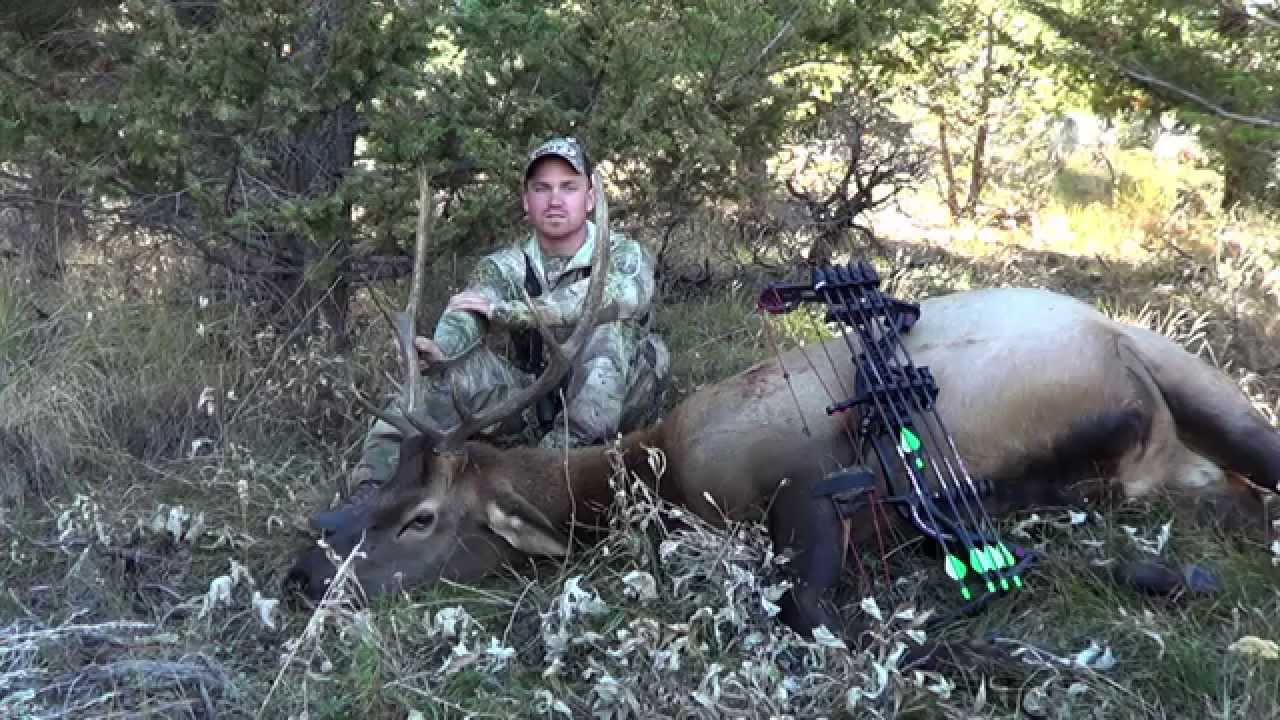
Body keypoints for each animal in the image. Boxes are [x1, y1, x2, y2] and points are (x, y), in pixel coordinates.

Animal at [285, 171, 1280, 638]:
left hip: (1196, 396)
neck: (652, 473)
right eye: (379, 492)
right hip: (1166, 458)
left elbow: (808, 608)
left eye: (418, 516)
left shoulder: (806, 485)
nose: (305, 575)